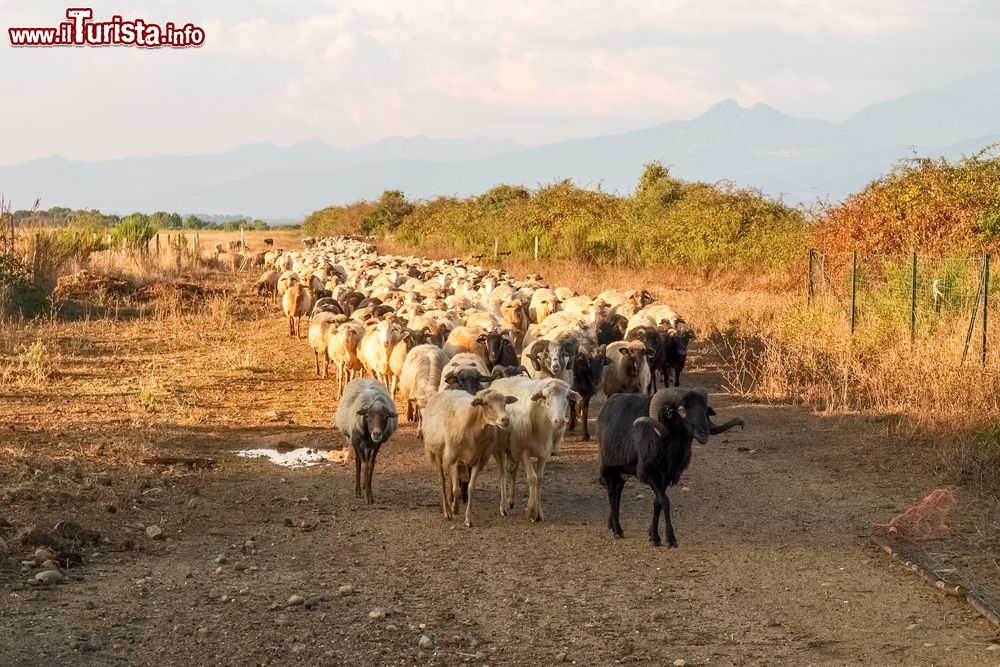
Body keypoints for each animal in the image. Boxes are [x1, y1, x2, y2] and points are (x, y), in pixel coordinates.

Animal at [420, 386, 516, 528]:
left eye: (505, 403)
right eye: (487, 405)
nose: (505, 420)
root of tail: (447, 390)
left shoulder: (478, 459)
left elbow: (470, 488)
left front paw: (468, 519)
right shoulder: (453, 457)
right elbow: (456, 489)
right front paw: (454, 509)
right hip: (437, 451)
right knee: (442, 481)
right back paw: (447, 510)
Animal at [490, 376, 584, 520]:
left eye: (567, 397)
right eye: (545, 397)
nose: (559, 421)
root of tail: (502, 379)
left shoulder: (544, 452)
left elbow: (539, 479)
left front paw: (538, 512)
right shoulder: (523, 451)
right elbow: (532, 478)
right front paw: (531, 510)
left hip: (514, 448)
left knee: (513, 471)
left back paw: (511, 500)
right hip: (500, 448)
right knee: (502, 475)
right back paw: (504, 506)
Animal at [592, 386, 744, 548]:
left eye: (704, 409)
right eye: (682, 410)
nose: (704, 434)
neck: (669, 448)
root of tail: (607, 405)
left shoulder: (666, 477)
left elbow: (657, 503)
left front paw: (653, 536)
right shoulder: (650, 474)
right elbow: (665, 501)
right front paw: (670, 539)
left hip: (622, 470)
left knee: (618, 491)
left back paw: (611, 524)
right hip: (609, 466)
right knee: (612, 494)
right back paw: (617, 530)